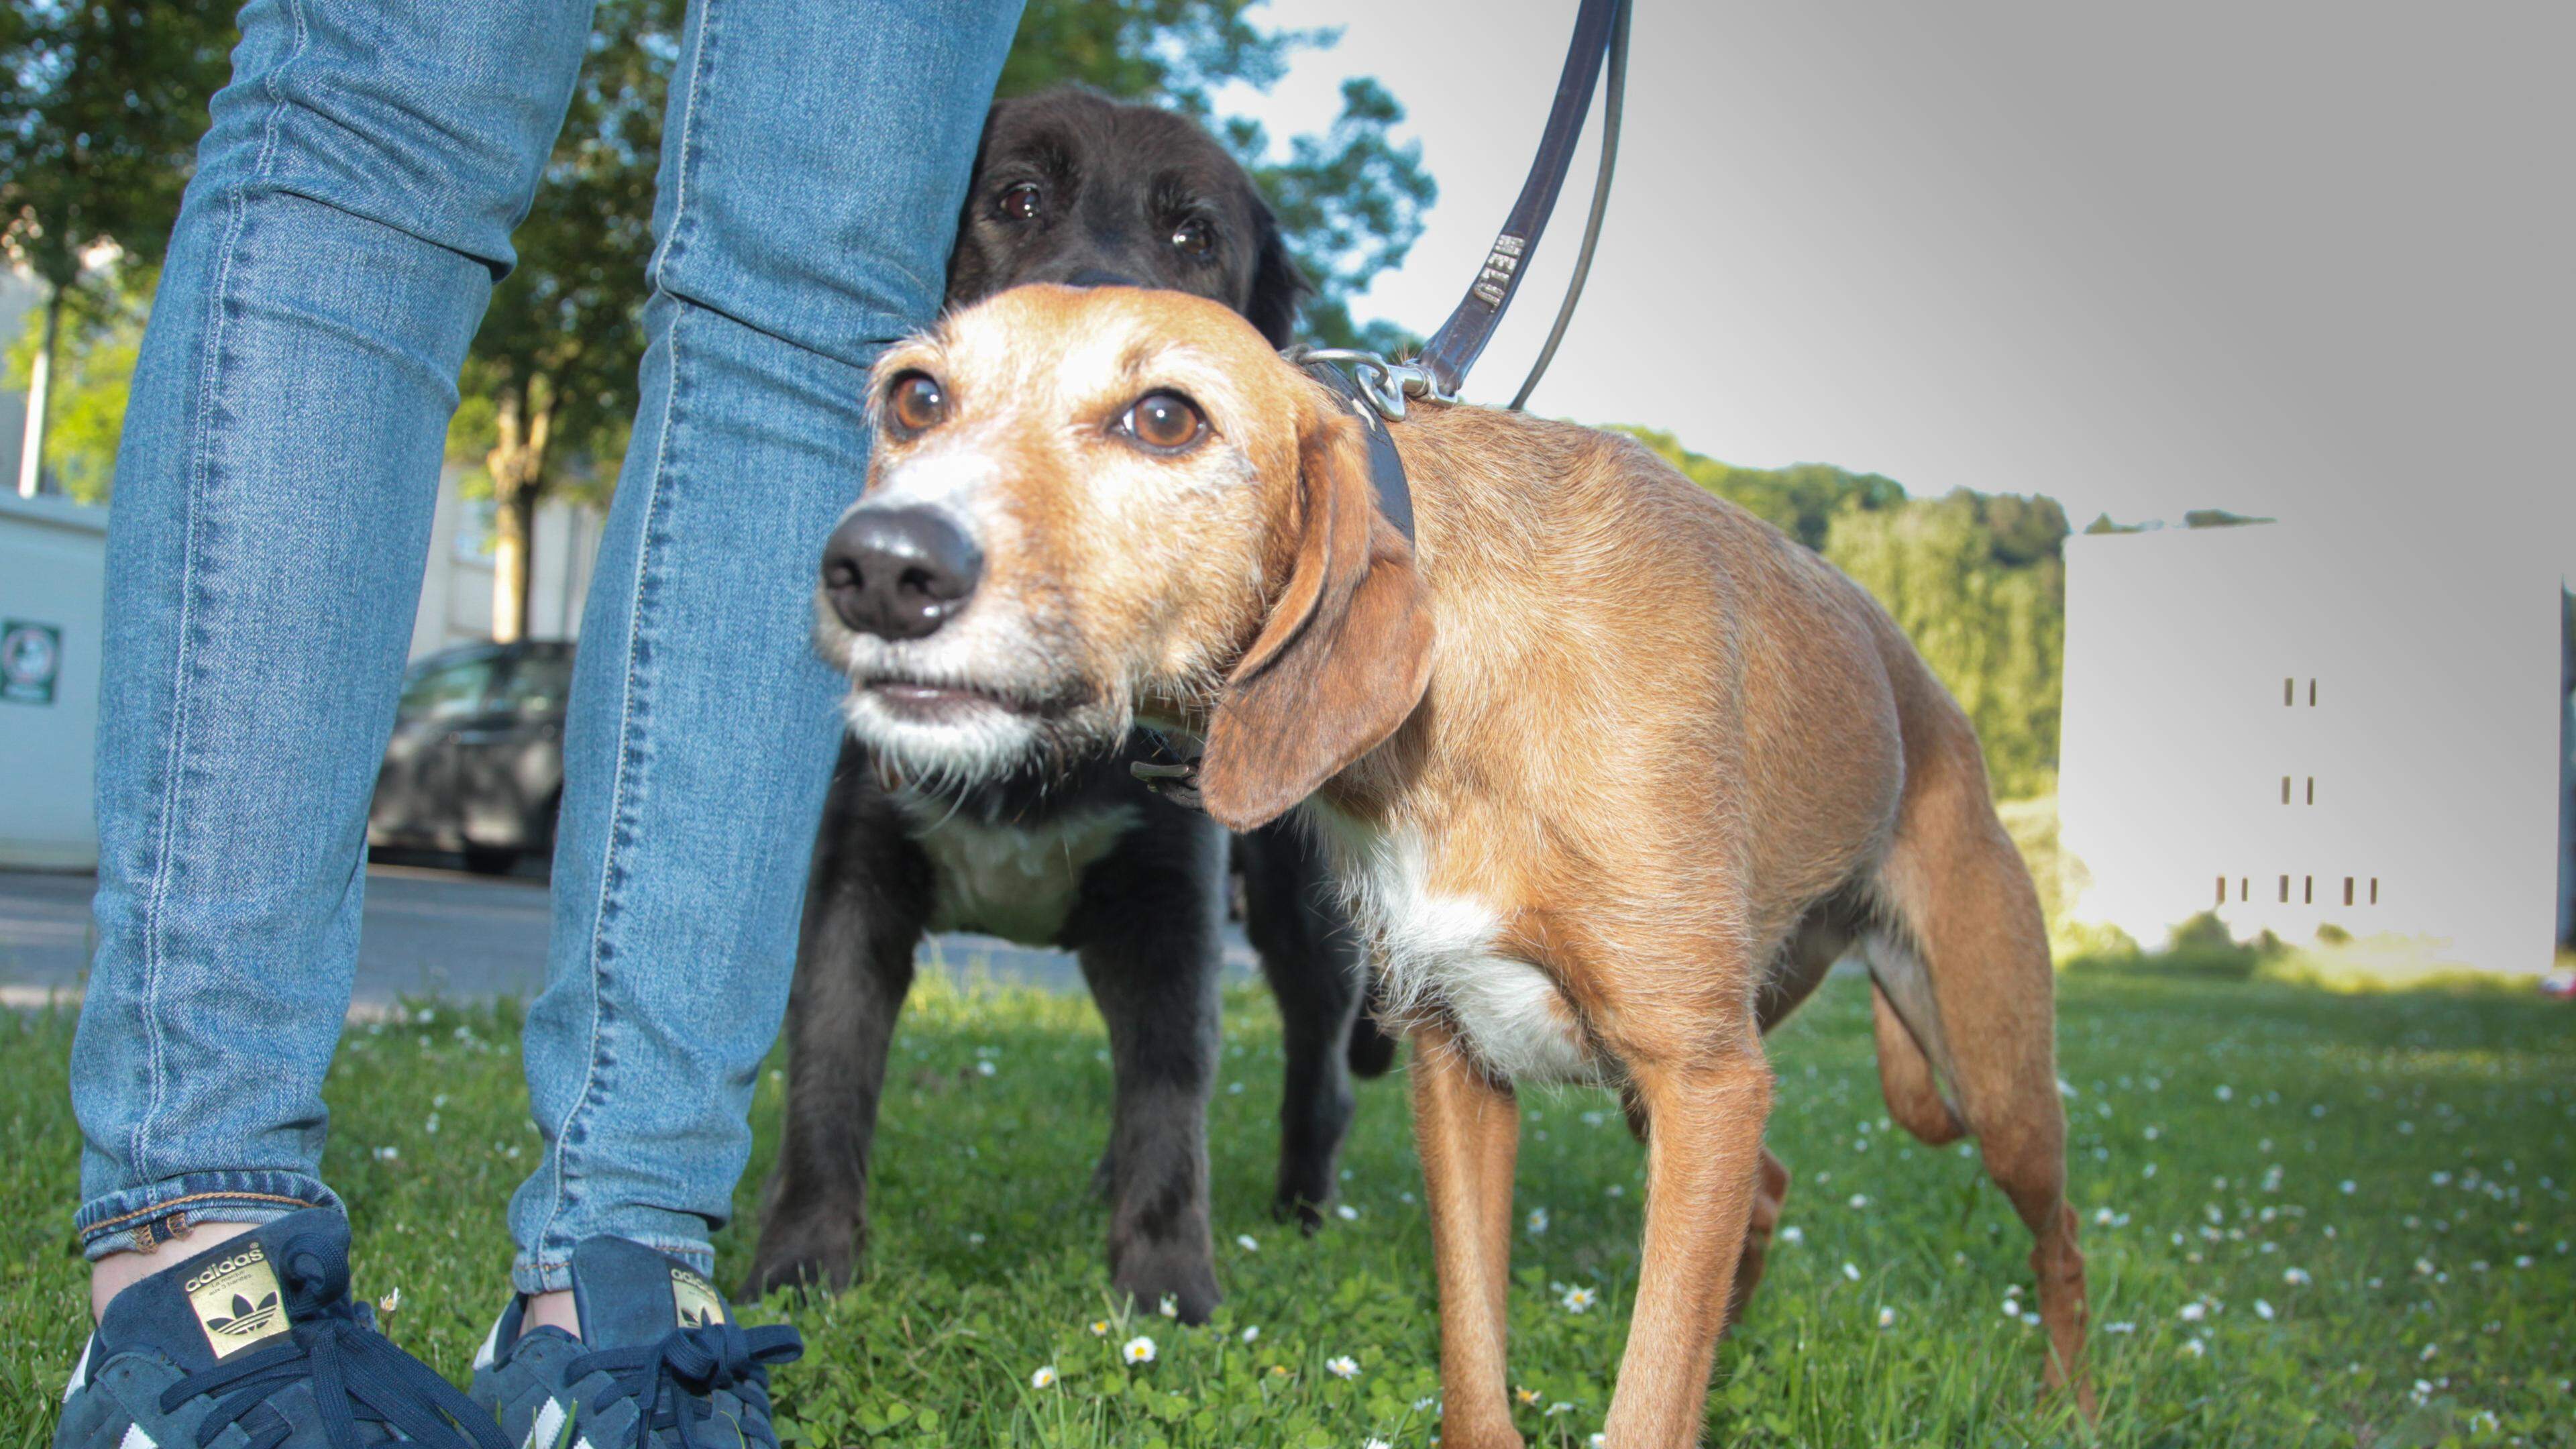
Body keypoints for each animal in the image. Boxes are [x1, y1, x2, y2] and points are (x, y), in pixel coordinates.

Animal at [747, 84, 1391, 1315]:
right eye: (1015, 199)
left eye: (1194, 238)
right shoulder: (855, 881)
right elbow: (828, 1080)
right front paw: (800, 1269)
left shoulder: (1171, 909)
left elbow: (1171, 1107)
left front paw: (1168, 1290)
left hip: (1300, 918)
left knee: (1320, 1080)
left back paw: (1301, 1212)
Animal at [824, 284, 2092, 1444]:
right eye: (916, 396)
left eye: (1167, 417)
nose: (880, 566)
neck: (1451, 715)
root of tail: (1940, 711)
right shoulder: (1460, 1063)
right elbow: (1476, 1359)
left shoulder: (1703, 1078)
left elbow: (1645, 1403)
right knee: (1764, 1197)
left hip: (1985, 1083)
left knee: (2062, 1238)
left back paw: (2069, 1399)